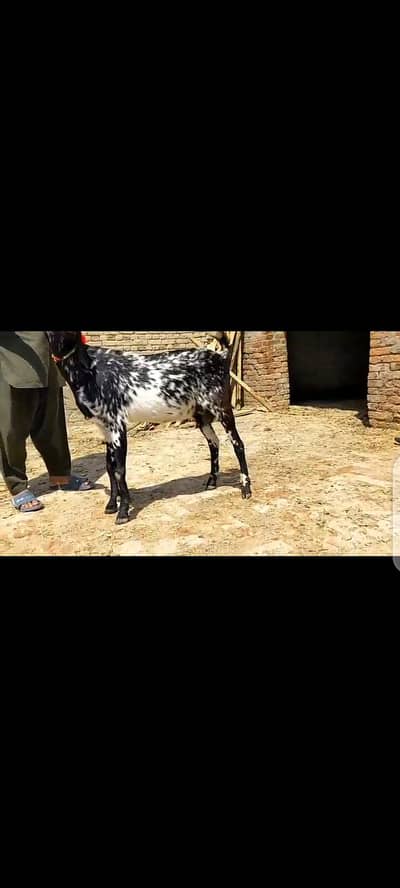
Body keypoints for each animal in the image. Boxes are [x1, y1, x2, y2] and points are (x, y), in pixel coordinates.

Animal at [46, 332, 252, 524]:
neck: (89, 368)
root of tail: (221, 356)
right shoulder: (105, 427)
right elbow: (109, 467)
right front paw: (112, 505)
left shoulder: (117, 425)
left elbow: (119, 469)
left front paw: (123, 512)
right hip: (201, 416)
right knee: (214, 442)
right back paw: (211, 481)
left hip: (221, 406)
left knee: (237, 444)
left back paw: (246, 488)